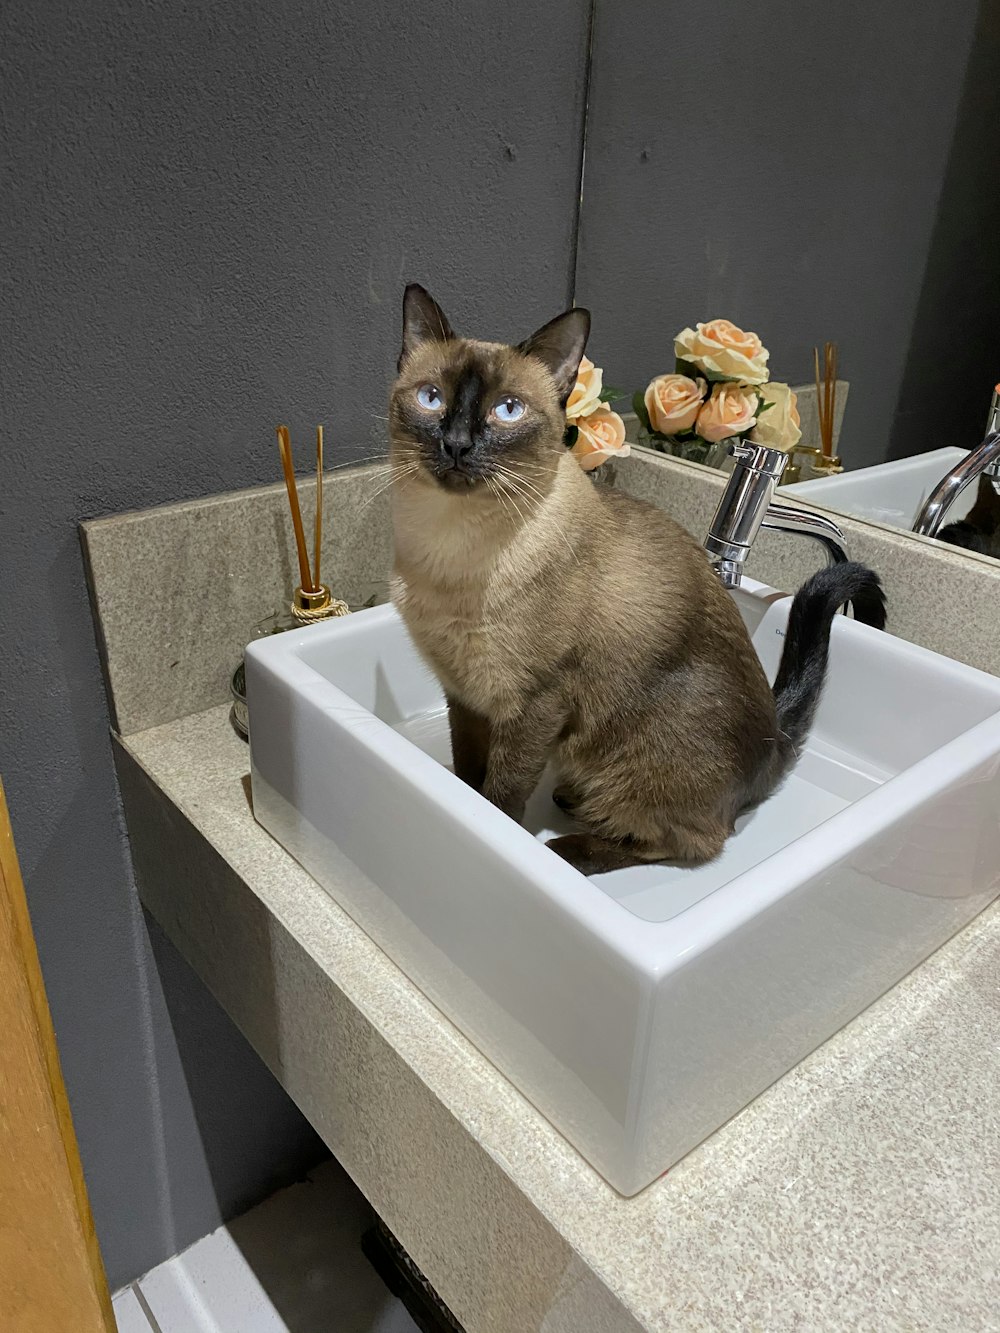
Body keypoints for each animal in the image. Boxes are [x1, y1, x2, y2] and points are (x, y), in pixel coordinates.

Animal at [386, 286, 890, 874]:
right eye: (431, 399)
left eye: (507, 410)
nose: (458, 445)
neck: (450, 550)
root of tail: (773, 737)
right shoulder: (464, 695)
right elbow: (468, 774)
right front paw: (463, 802)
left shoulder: (534, 702)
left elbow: (502, 794)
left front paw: (499, 834)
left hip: (636, 760)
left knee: (696, 841)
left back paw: (569, 850)